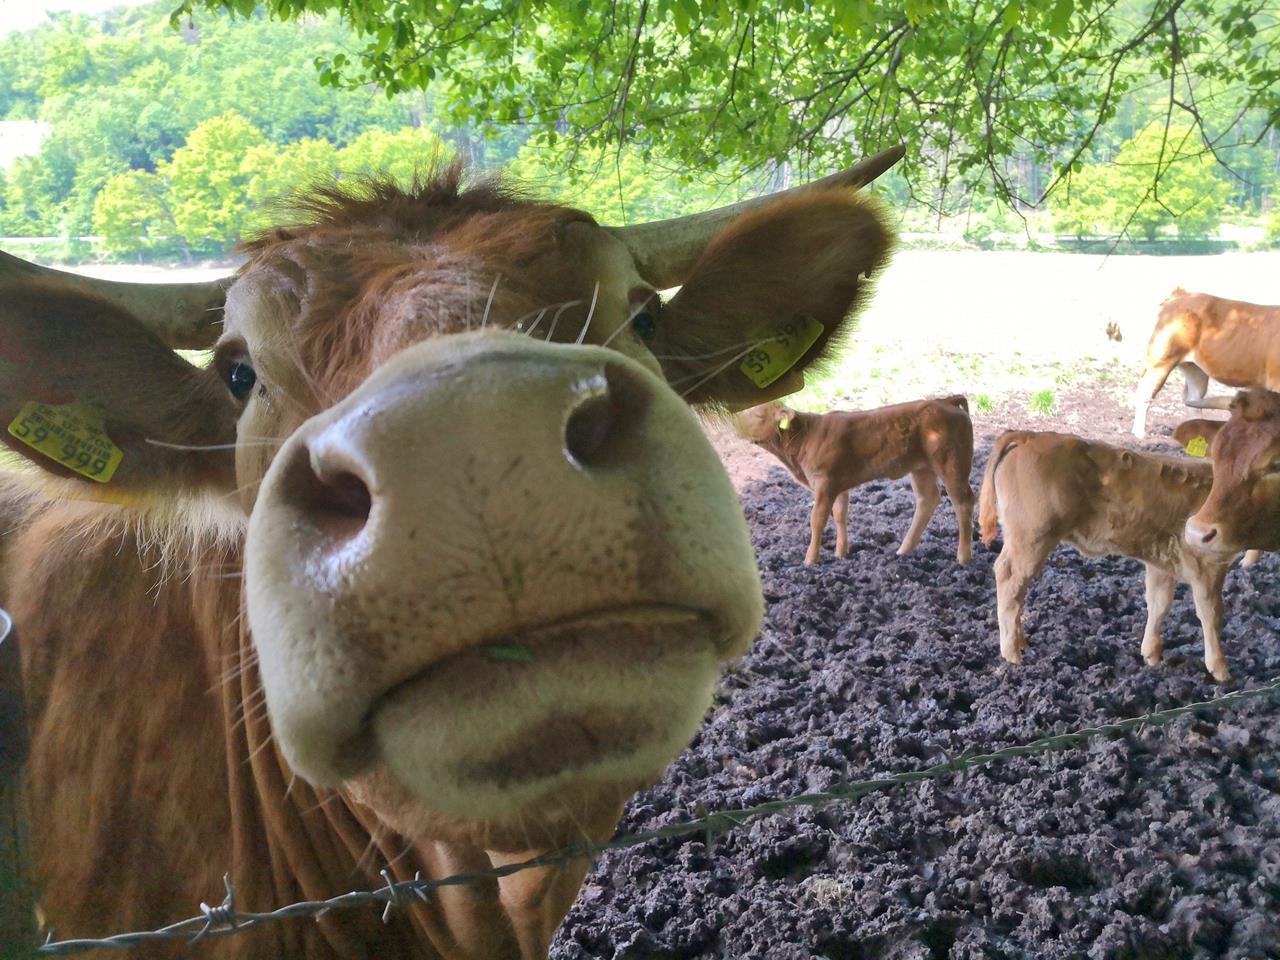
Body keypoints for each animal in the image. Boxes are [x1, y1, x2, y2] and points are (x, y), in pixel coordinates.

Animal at [735, 396, 974, 565]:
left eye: (758, 415)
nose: (735, 425)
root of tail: (945, 400)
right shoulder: (839, 485)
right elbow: (840, 515)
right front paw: (841, 553)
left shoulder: (825, 483)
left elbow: (817, 519)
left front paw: (810, 559)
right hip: (921, 467)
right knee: (928, 499)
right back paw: (903, 550)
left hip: (952, 464)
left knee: (962, 502)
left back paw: (963, 557)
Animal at [979, 431, 1236, 683]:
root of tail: (1031, 435)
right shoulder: (1208, 565)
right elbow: (1211, 612)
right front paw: (1221, 670)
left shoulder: (1162, 561)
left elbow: (1159, 603)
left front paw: (1151, 655)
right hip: (1031, 539)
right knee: (1009, 579)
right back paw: (1012, 653)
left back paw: (1020, 642)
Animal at [1132, 288, 1280, 437]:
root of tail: (1181, 293)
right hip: (1161, 360)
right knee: (1145, 392)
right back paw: (1139, 433)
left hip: (1194, 368)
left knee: (1193, 399)